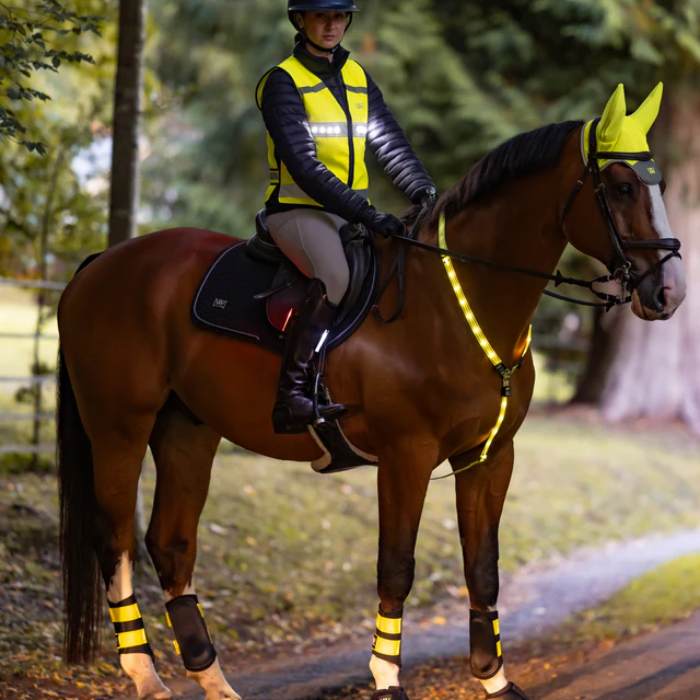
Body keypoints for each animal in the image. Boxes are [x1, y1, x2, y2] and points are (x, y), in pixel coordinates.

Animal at [56, 84, 685, 700]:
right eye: (623, 186)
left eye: (657, 183)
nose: (670, 292)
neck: (455, 302)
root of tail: (102, 263)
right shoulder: (407, 457)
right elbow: (396, 567)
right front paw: (386, 679)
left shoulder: (488, 457)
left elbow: (482, 567)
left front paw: (494, 679)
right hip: (119, 428)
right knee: (115, 539)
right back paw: (145, 676)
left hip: (187, 429)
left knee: (170, 543)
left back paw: (213, 680)